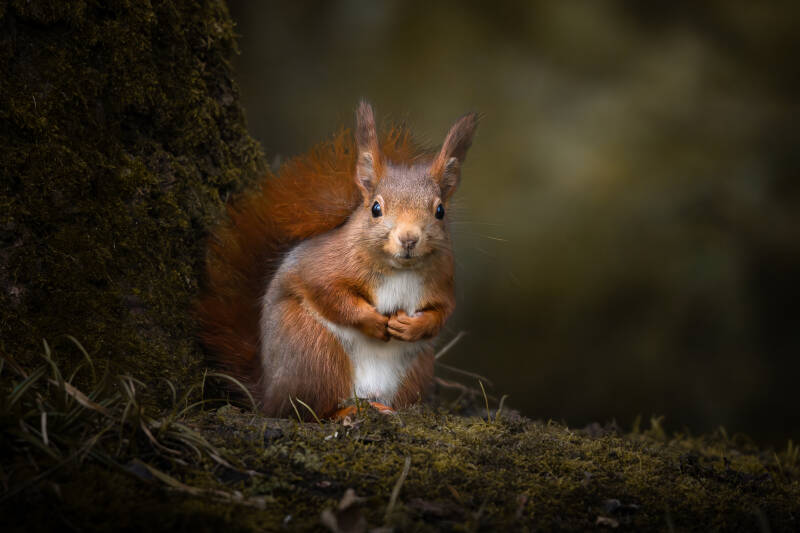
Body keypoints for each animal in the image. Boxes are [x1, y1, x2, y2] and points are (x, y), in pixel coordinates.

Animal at [196, 101, 478, 419]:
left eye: (440, 211)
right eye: (375, 208)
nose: (408, 239)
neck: (399, 269)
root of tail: (268, 395)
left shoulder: (442, 281)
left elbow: (441, 313)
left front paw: (411, 327)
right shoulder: (323, 265)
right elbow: (329, 293)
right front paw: (371, 320)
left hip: (414, 371)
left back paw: (384, 408)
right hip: (315, 351)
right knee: (310, 410)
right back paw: (345, 412)